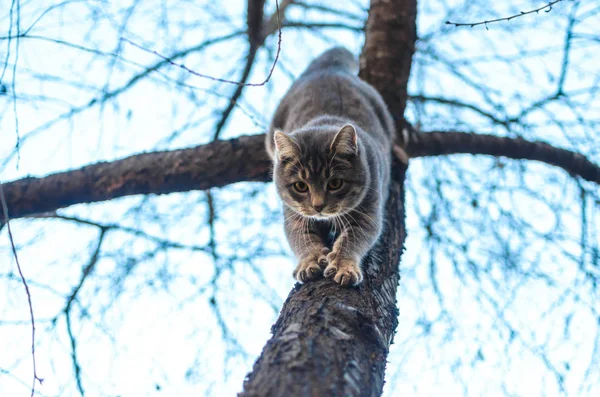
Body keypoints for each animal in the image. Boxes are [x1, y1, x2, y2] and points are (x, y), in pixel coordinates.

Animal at [268, 48, 394, 286]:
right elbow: (302, 239)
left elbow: (352, 240)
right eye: (300, 186)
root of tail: (329, 68)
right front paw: (310, 261)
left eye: (335, 183)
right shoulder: (294, 216)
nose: (318, 205)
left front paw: (344, 266)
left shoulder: (368, 212)